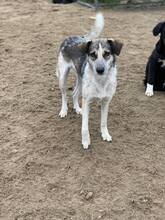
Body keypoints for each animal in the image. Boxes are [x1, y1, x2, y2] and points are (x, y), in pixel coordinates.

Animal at [56, 12, 122, 149]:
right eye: (93, 54)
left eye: (107, 54)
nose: (100, 69)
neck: (101, 81)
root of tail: (71, 37)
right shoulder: (87, 101)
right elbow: (85, 127)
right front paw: (86, 141)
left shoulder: (106, 101)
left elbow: (103, 122)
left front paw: (105, 134)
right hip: (63, 77)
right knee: (64, 94)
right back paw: (64, 110)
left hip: (81, 81)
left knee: (74, 93)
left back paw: (77, 109)